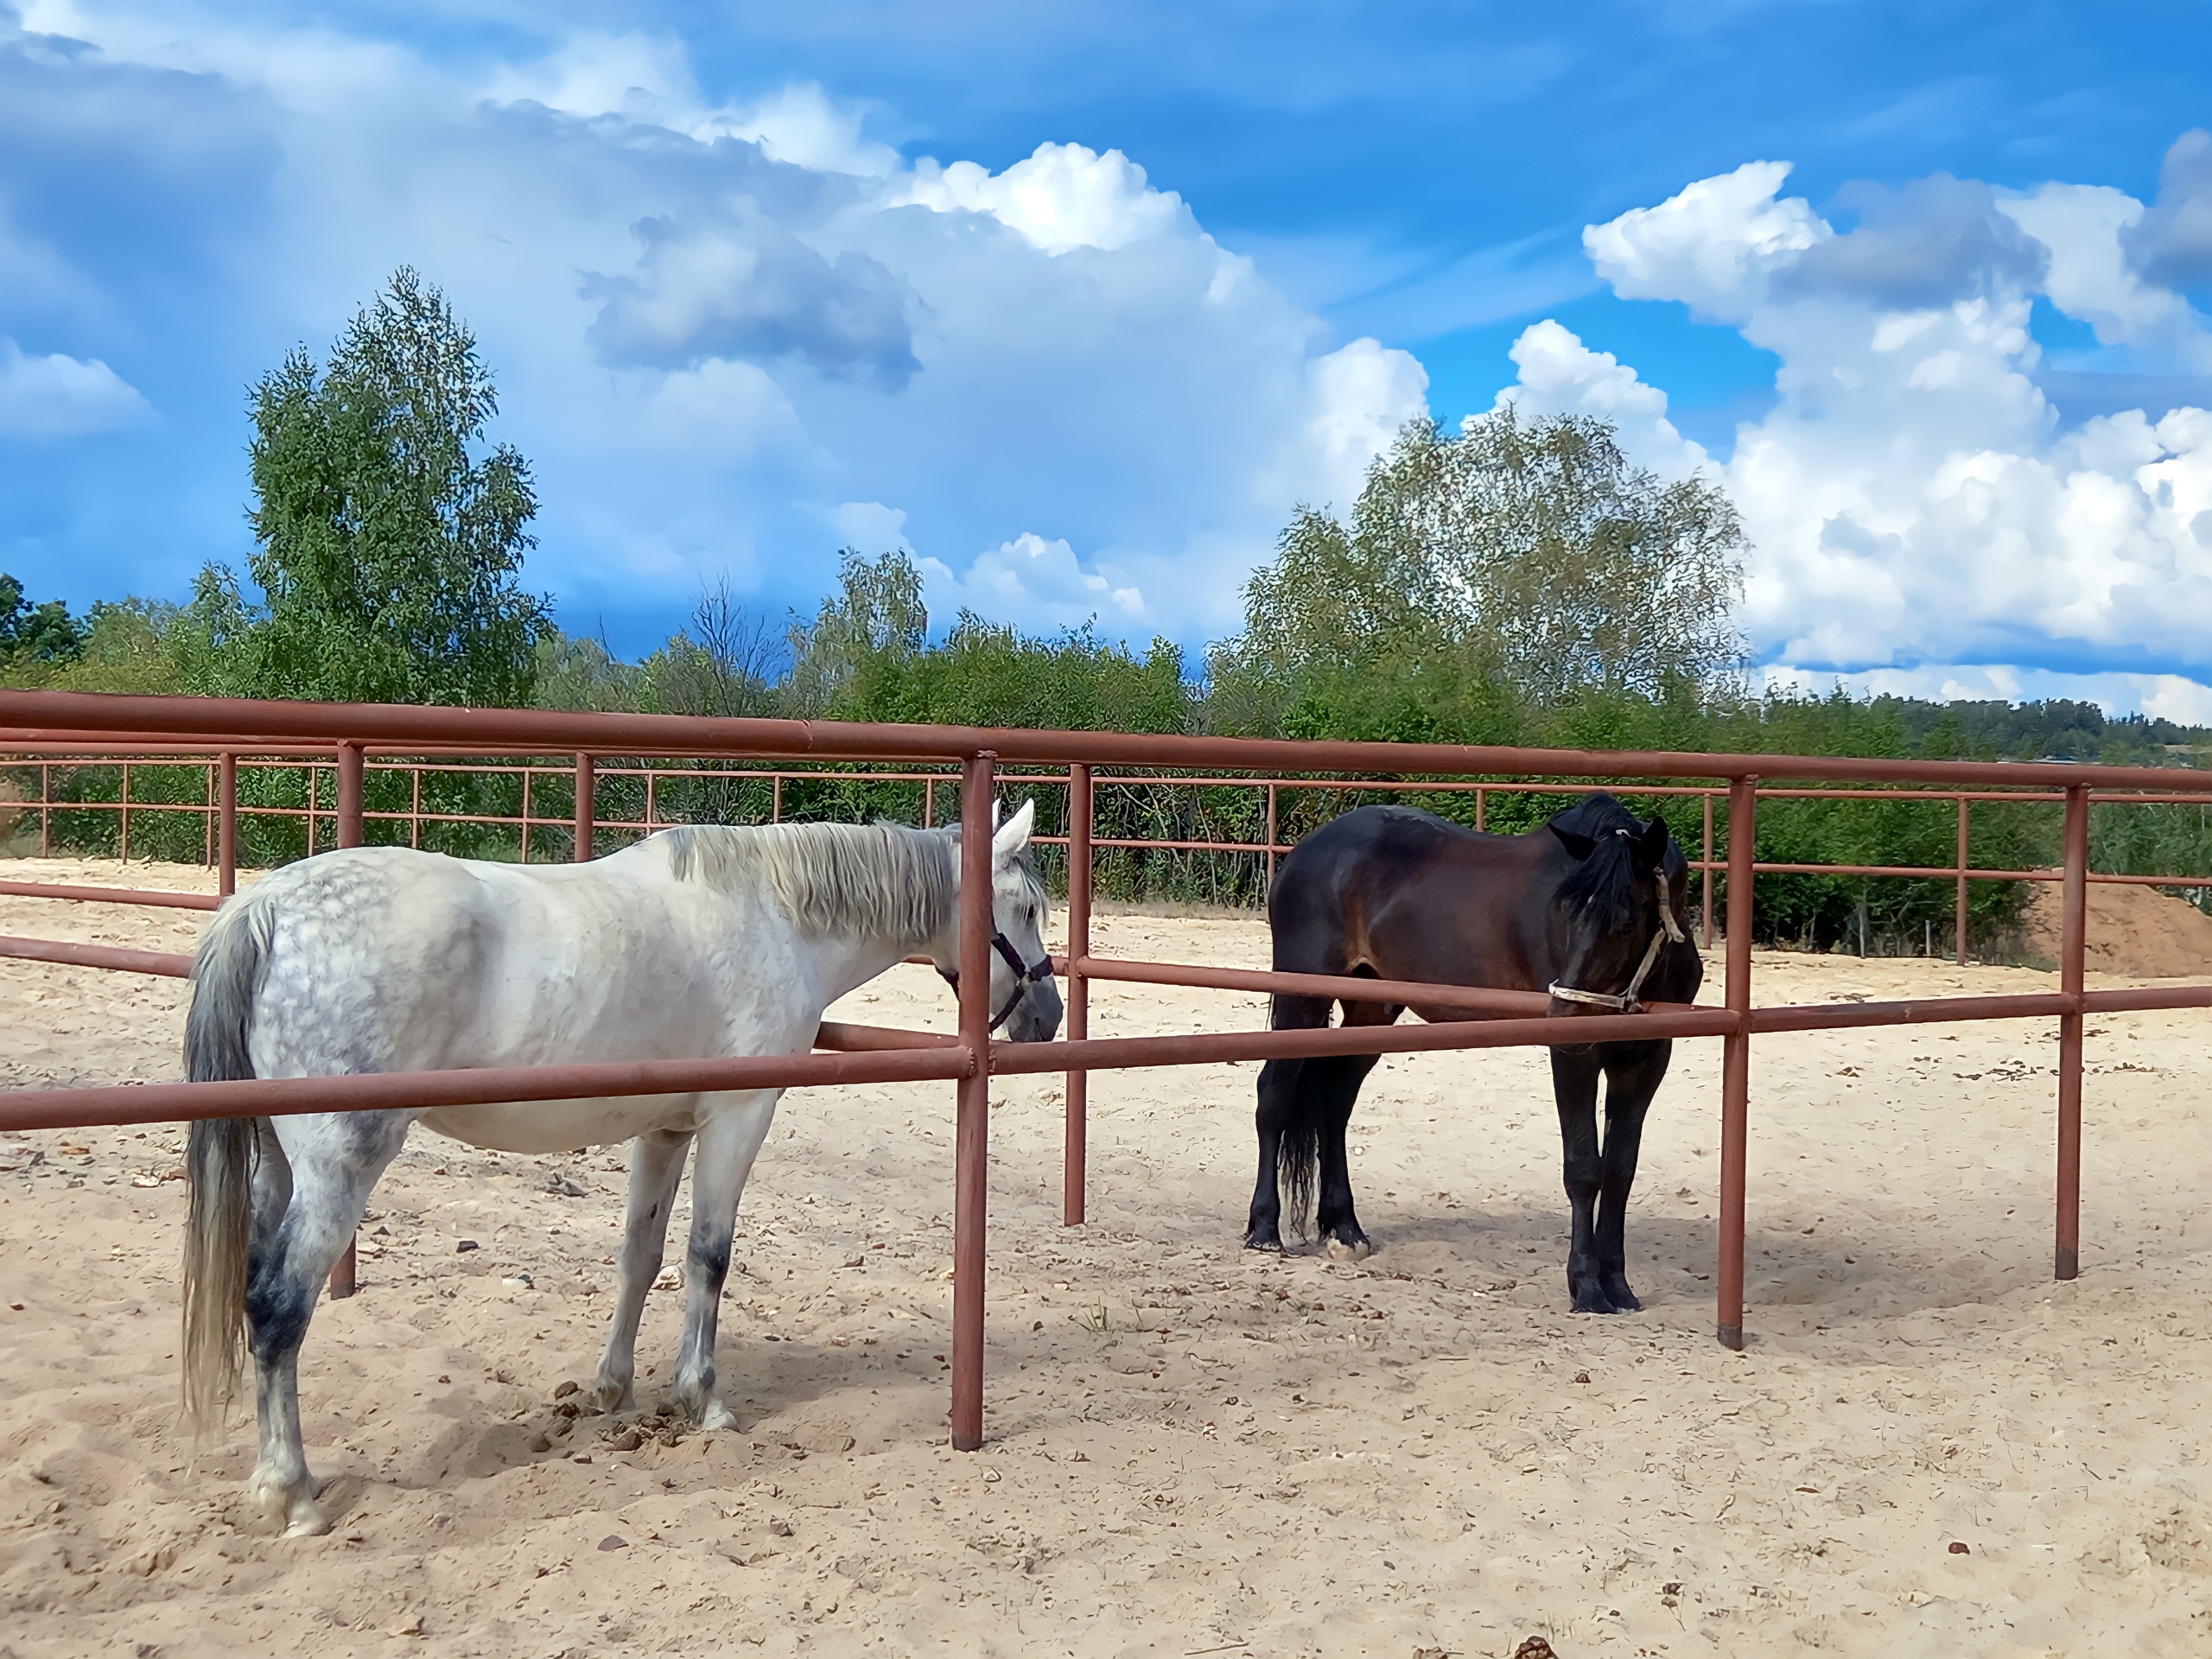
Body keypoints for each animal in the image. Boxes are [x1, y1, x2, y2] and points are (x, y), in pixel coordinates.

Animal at [181, 800, 1061, 1539]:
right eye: (1024, 909)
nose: (1048, 1019)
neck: (773, 915)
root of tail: (265, 908)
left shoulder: (665, 1130)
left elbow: (640, 1257)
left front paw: (614, 1389)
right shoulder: (738, 1118)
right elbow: (709, 1256)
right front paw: (703, 1398)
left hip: (279, 1166)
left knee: (255, 1294)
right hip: (341, 1165)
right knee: (279, 1308)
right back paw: (291, 1493)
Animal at [1256, 800, 1699, 1318]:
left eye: (1627, 922)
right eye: (1566, 913)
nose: (1562, 1016)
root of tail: (1304, 851)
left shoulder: (1646, 1061)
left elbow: (1620, 1172)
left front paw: (1618, 1286)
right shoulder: (1575, 1057)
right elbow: (1584, 1169)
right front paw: (1587, 1288)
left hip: (1371, 1011)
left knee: (1334, 1101)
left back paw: (1345, 1230)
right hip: (1302, 999)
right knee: (1274, 1096)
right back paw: (1263, 1230)